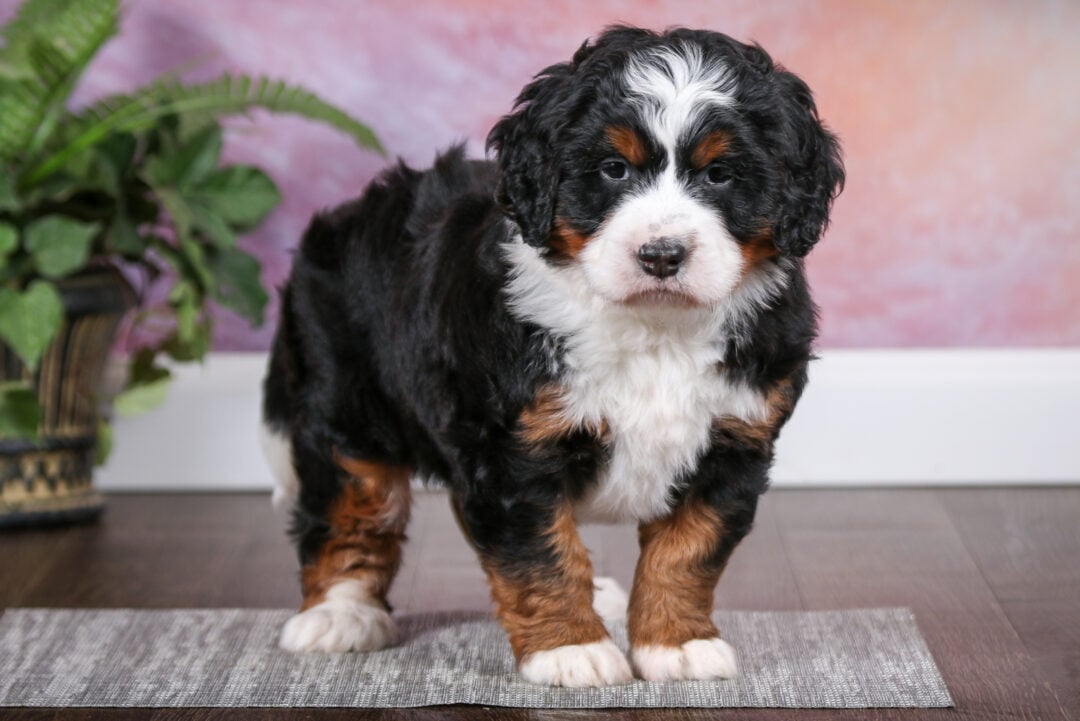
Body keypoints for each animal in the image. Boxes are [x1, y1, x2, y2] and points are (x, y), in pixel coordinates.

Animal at [263, 26, 842, 686]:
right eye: (613, 170)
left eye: (720, 174)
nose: (661, 254)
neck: (654, 326)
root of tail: (344, 217)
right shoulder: (512, 448)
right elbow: (538, 554)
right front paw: (571, 648)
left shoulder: (733, 442)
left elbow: (688, 550)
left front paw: (676, 643)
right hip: (346, 402)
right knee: (351, 505)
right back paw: (340, 613)